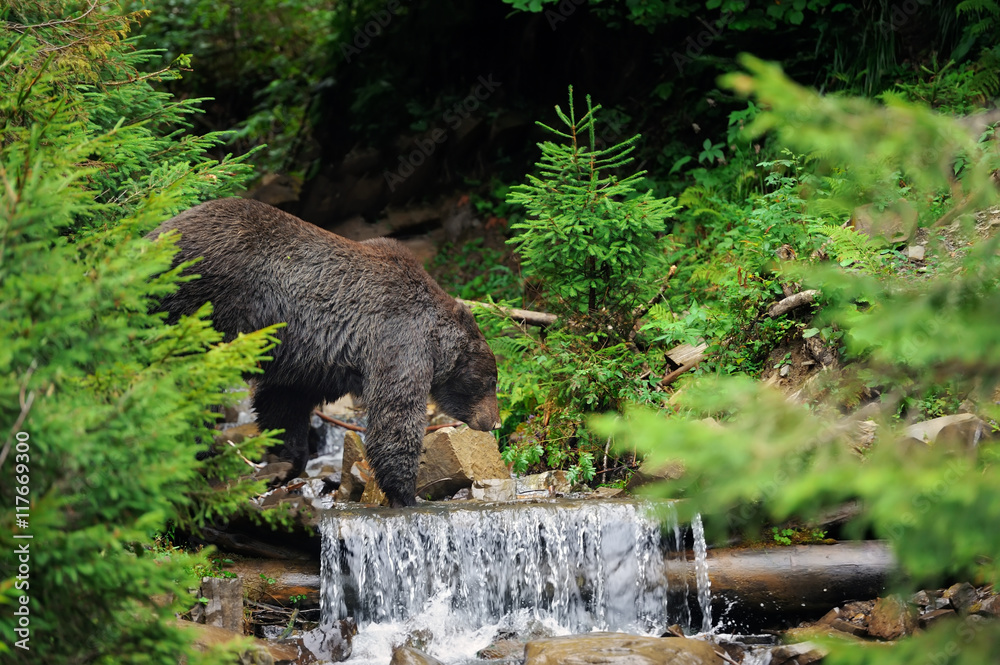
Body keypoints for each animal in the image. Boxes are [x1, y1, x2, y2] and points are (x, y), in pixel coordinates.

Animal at [150, 197, 500, 508]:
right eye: (491, 381)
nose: (494, 422)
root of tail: (155, 236)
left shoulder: (311, 361)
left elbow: (283, 403)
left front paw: (286, 461)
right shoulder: (397, 340)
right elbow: (395, 414)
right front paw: (406, 495)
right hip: (202, 306)